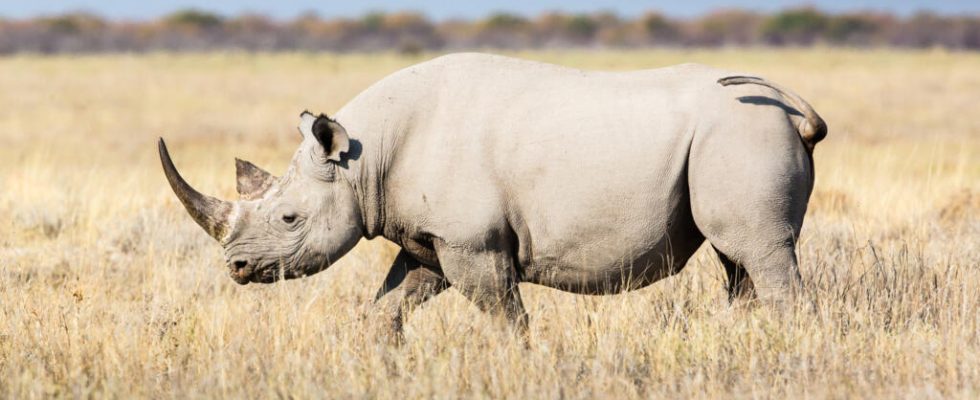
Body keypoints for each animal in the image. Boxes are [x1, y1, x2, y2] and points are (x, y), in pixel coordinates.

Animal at [159, 53, 828, 340]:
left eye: (289, 217)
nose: (236, 268)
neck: (362, 160)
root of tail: (793, 109)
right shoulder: (429, 239)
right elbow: (390, 305)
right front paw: (381, 360)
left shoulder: (474, 244)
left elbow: (506, 317)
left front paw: (519, 362)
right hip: (734, 135)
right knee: (738, 260)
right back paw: (741, 345)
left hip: (742, 130)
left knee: (761, 254)